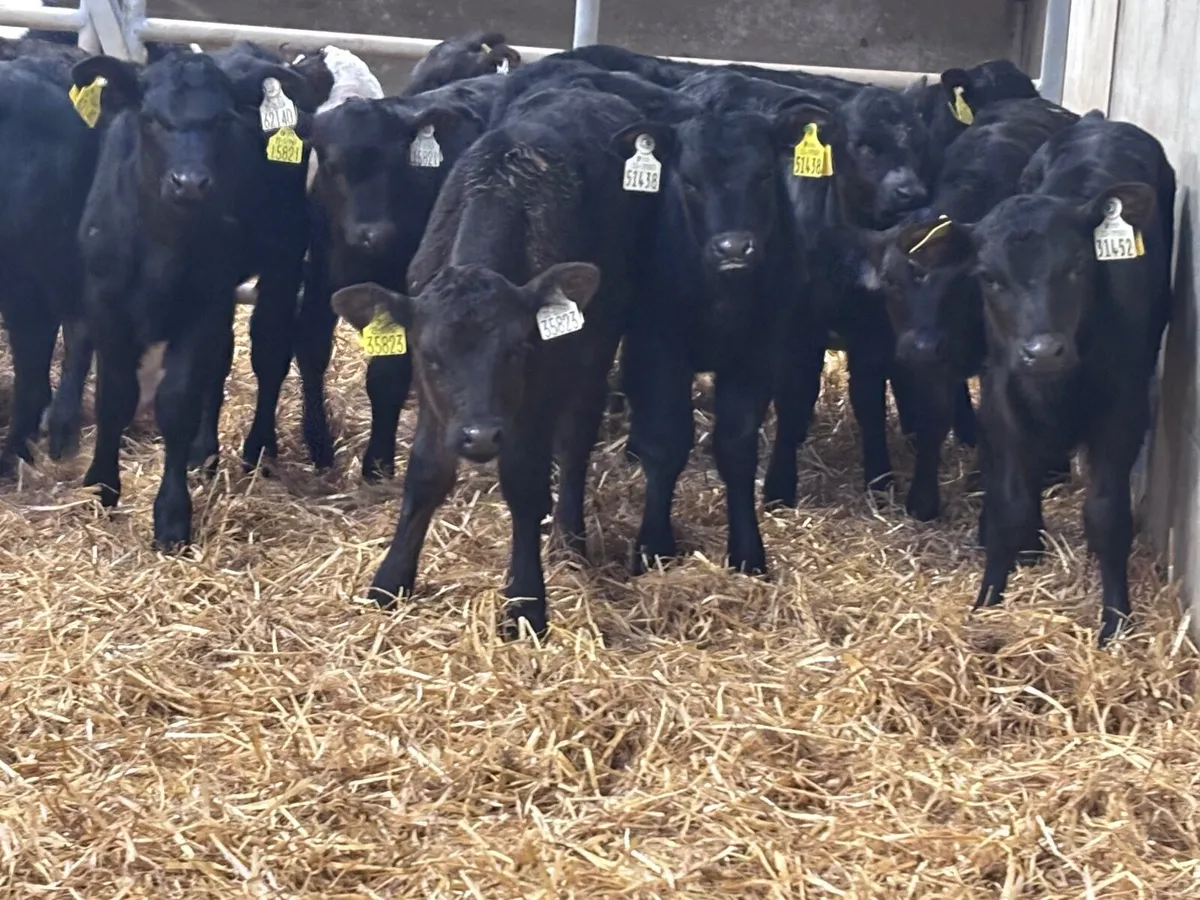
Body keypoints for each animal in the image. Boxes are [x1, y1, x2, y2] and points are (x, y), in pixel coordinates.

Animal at [331, 86, 668, 637]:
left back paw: (569, 537)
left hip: (596, 348)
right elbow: (425, 473)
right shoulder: (435, 403)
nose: (480, 436)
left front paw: (526, 601)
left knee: (575, 442)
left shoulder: (543, 387)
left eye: (517, 349)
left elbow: (526, 483)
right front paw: (390, 580)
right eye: (430, 355)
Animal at [897, 112, 1174, 643]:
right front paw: (988, 601)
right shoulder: (1003, 400)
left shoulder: (1123, 411)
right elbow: (1011, 504)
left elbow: (1107, 515)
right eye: (988, 276)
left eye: (1079, 265)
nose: (1042, 351)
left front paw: (1115, 621)